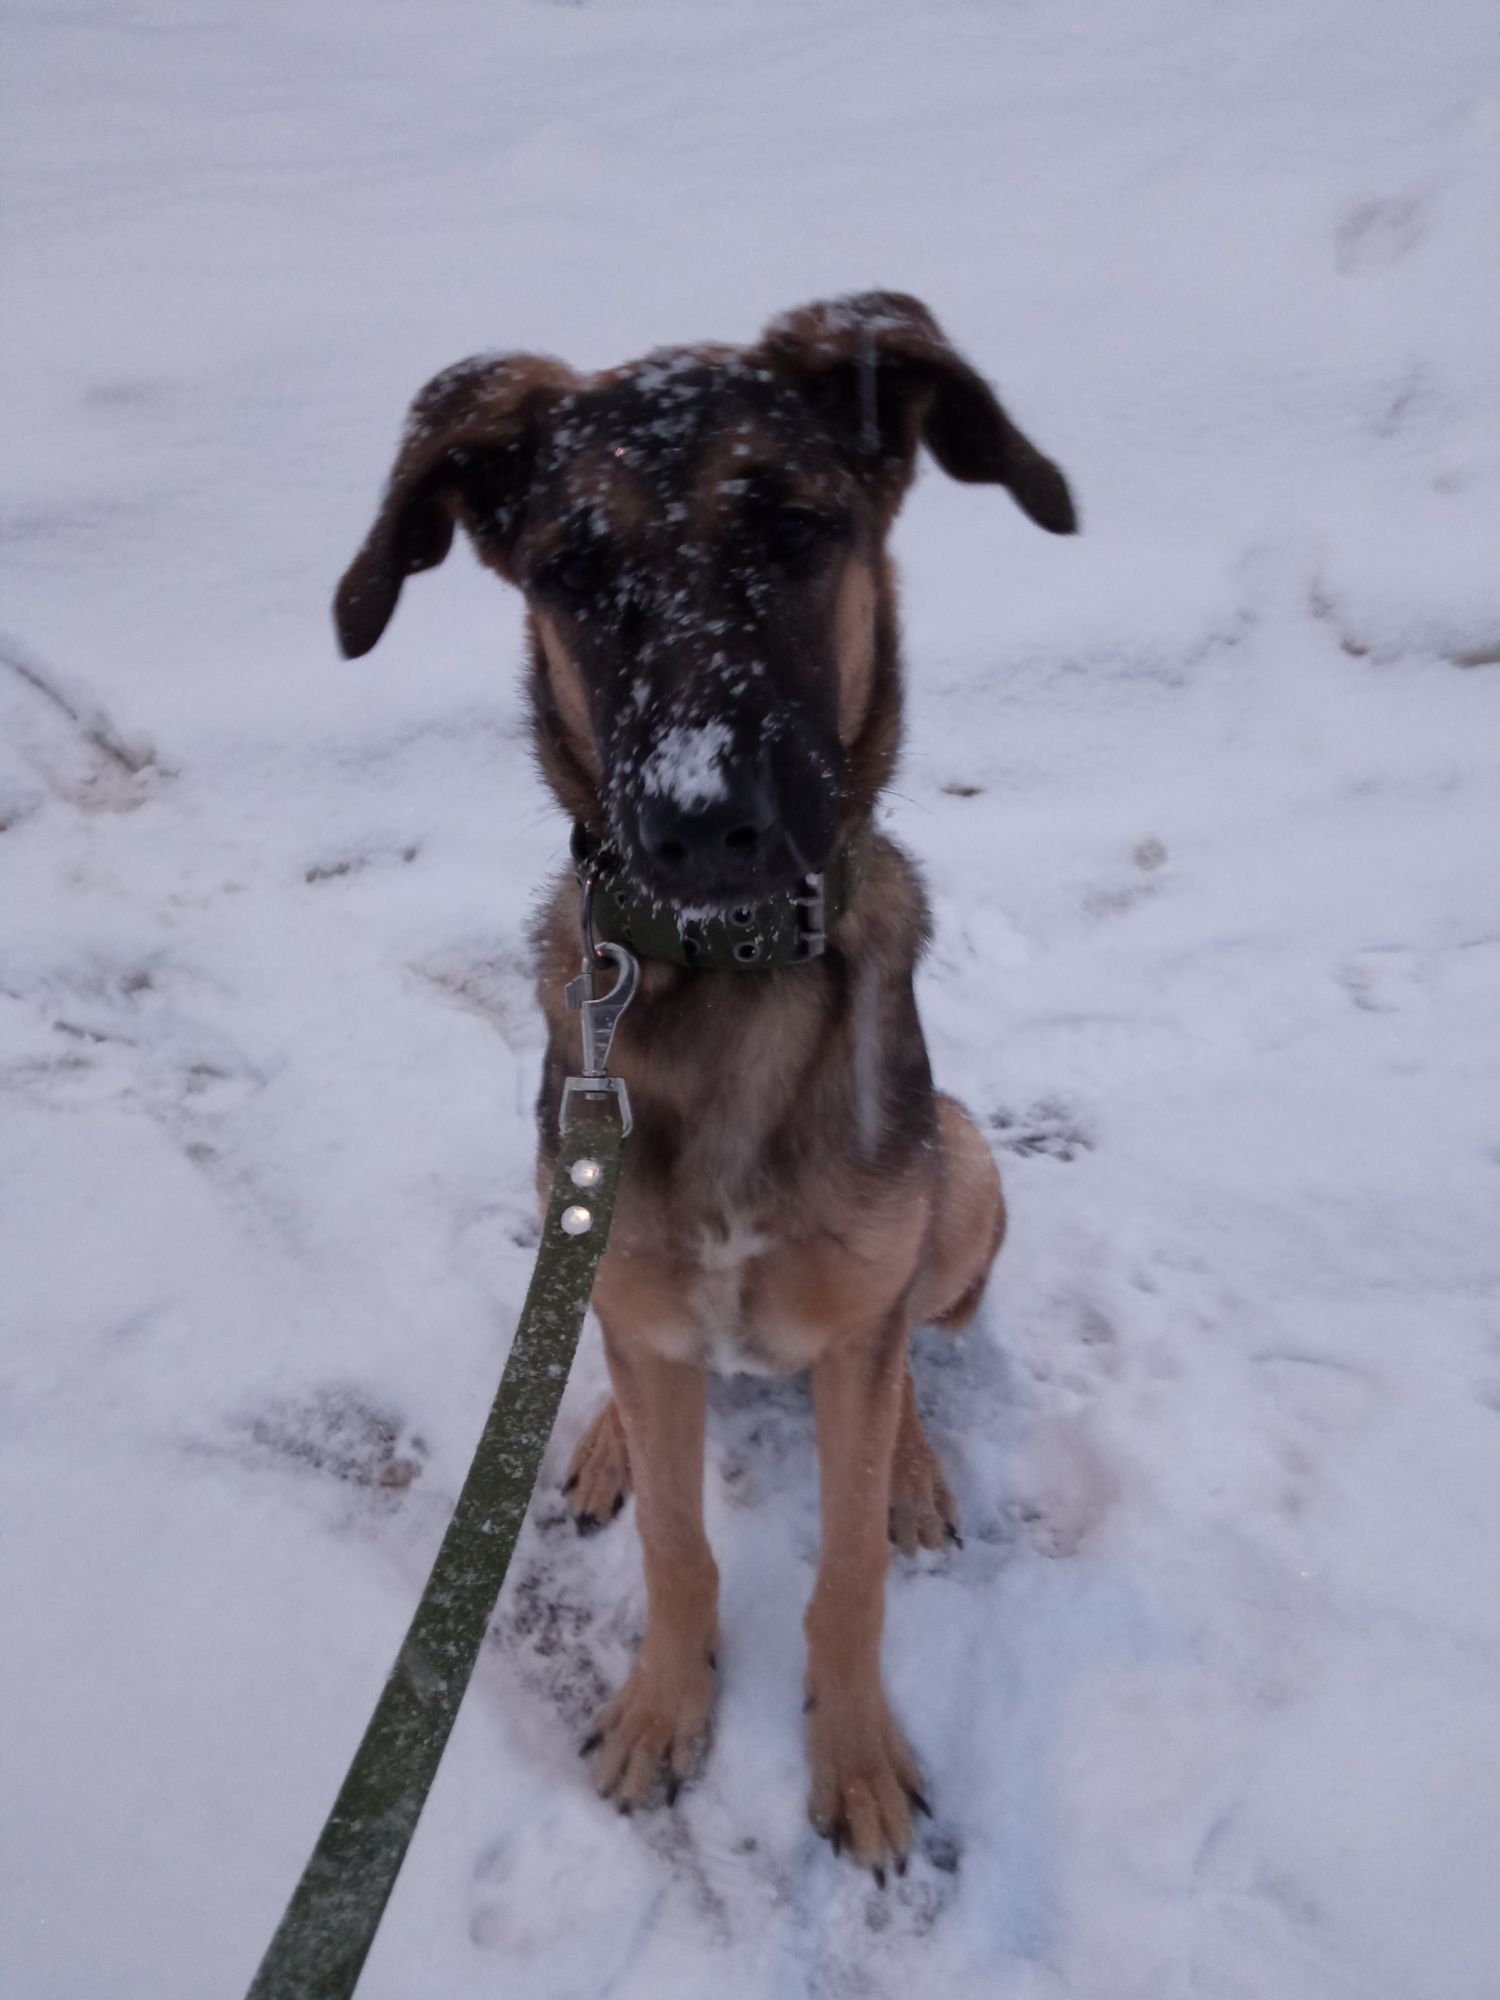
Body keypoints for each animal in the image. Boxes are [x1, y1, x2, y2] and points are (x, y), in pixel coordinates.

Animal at [335, 292, 1076, 1877]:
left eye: (796, 526)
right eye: (572, 568)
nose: (699, 829)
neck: (726, 983)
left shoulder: (864, 1309)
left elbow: (847, 1559)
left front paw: (854, 1756)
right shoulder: (620, 1263)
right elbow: (681, 1545)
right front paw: (666, 1711)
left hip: (968, 1171)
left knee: (910, 1352)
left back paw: (916, 1466)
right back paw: (608, 1431)